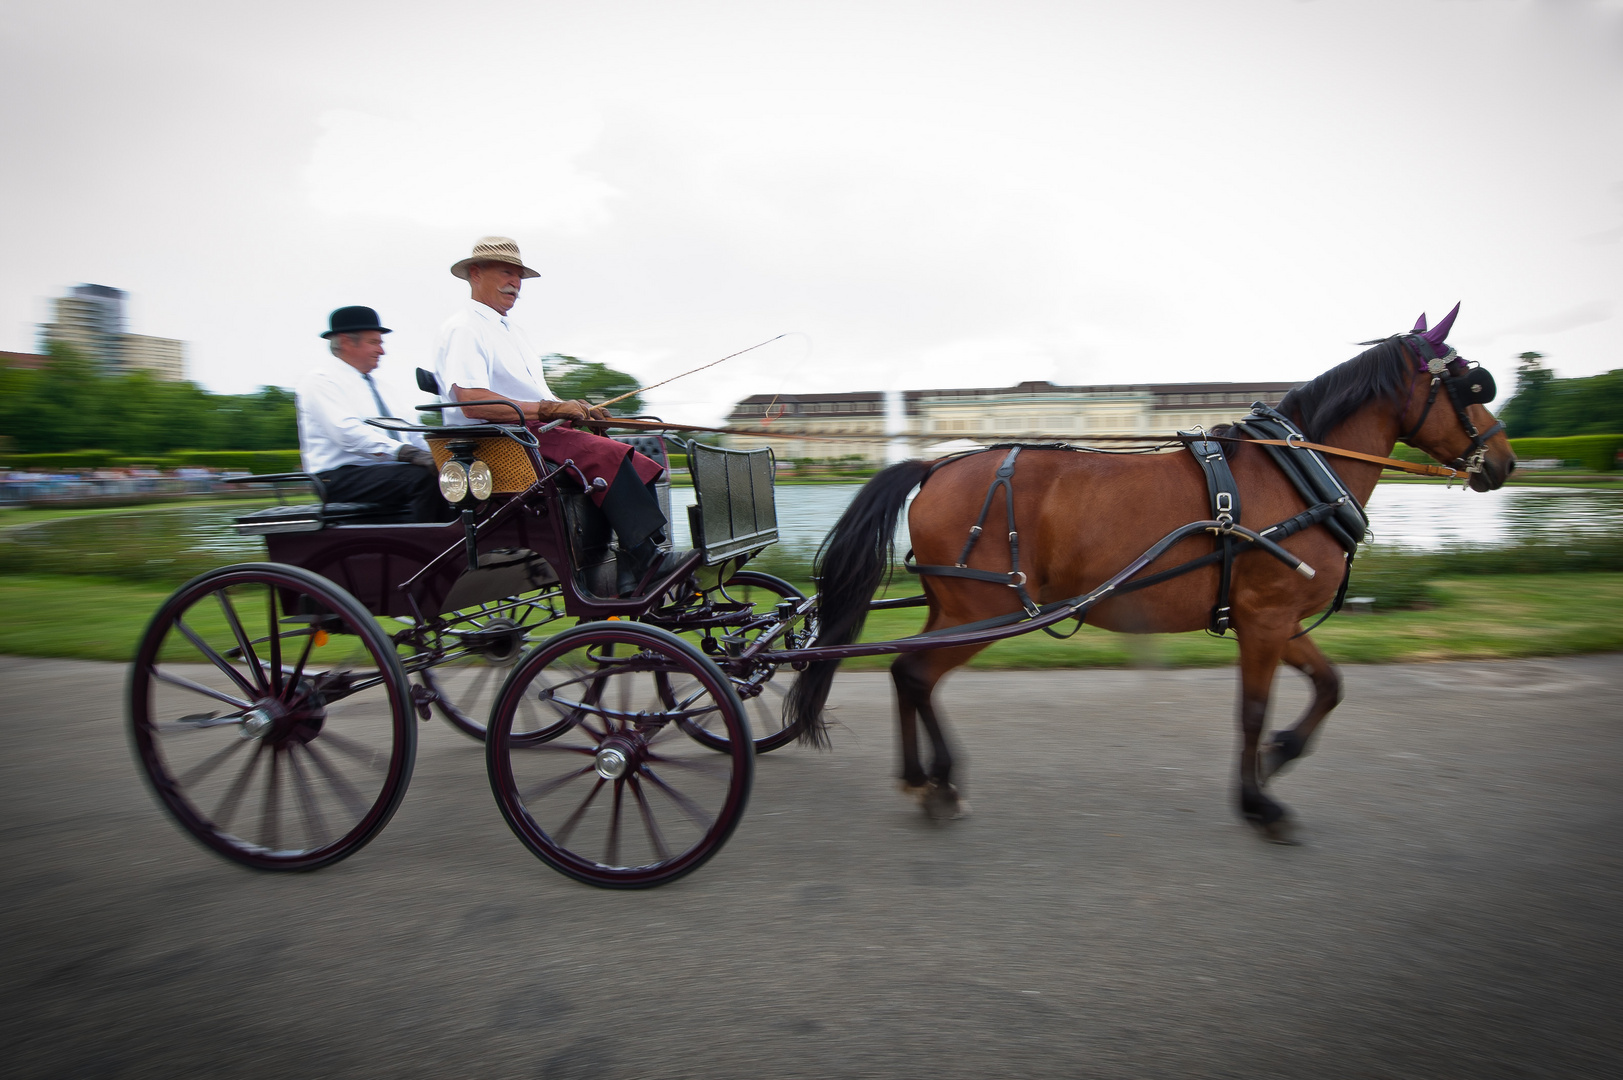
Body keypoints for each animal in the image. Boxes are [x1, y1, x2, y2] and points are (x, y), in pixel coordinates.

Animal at [792, 311, 1512, 831]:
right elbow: (1252, 709)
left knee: (903, 672)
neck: (1297, 471)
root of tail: (935, 463)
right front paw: (1258, 801)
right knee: (914, 673)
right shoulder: (1265, 617)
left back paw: (924, 778)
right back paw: (938, 781)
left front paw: (1280, 755)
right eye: (1472, 384)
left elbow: (1329, 686)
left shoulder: (1273, 616)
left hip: (958, 607)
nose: (1505, 459)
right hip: (982, 611)